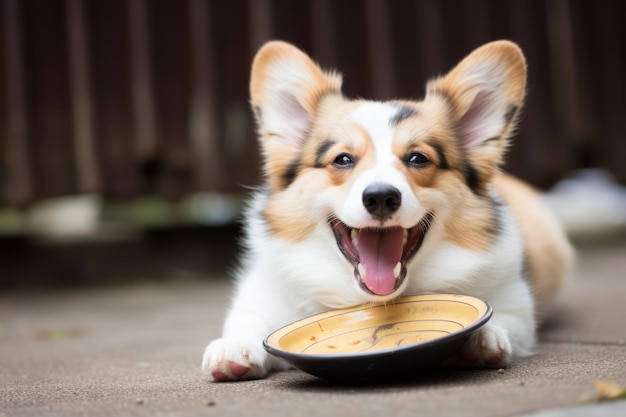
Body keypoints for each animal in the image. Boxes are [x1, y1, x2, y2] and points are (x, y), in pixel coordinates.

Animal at [202, 39, 572, 380]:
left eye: (418, 158)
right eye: (343, 159)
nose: (381, 197)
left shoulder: (515, 304)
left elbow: (506, 320)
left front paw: (483, 336)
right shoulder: (260, 300)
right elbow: (248, 322)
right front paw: (233, 348)